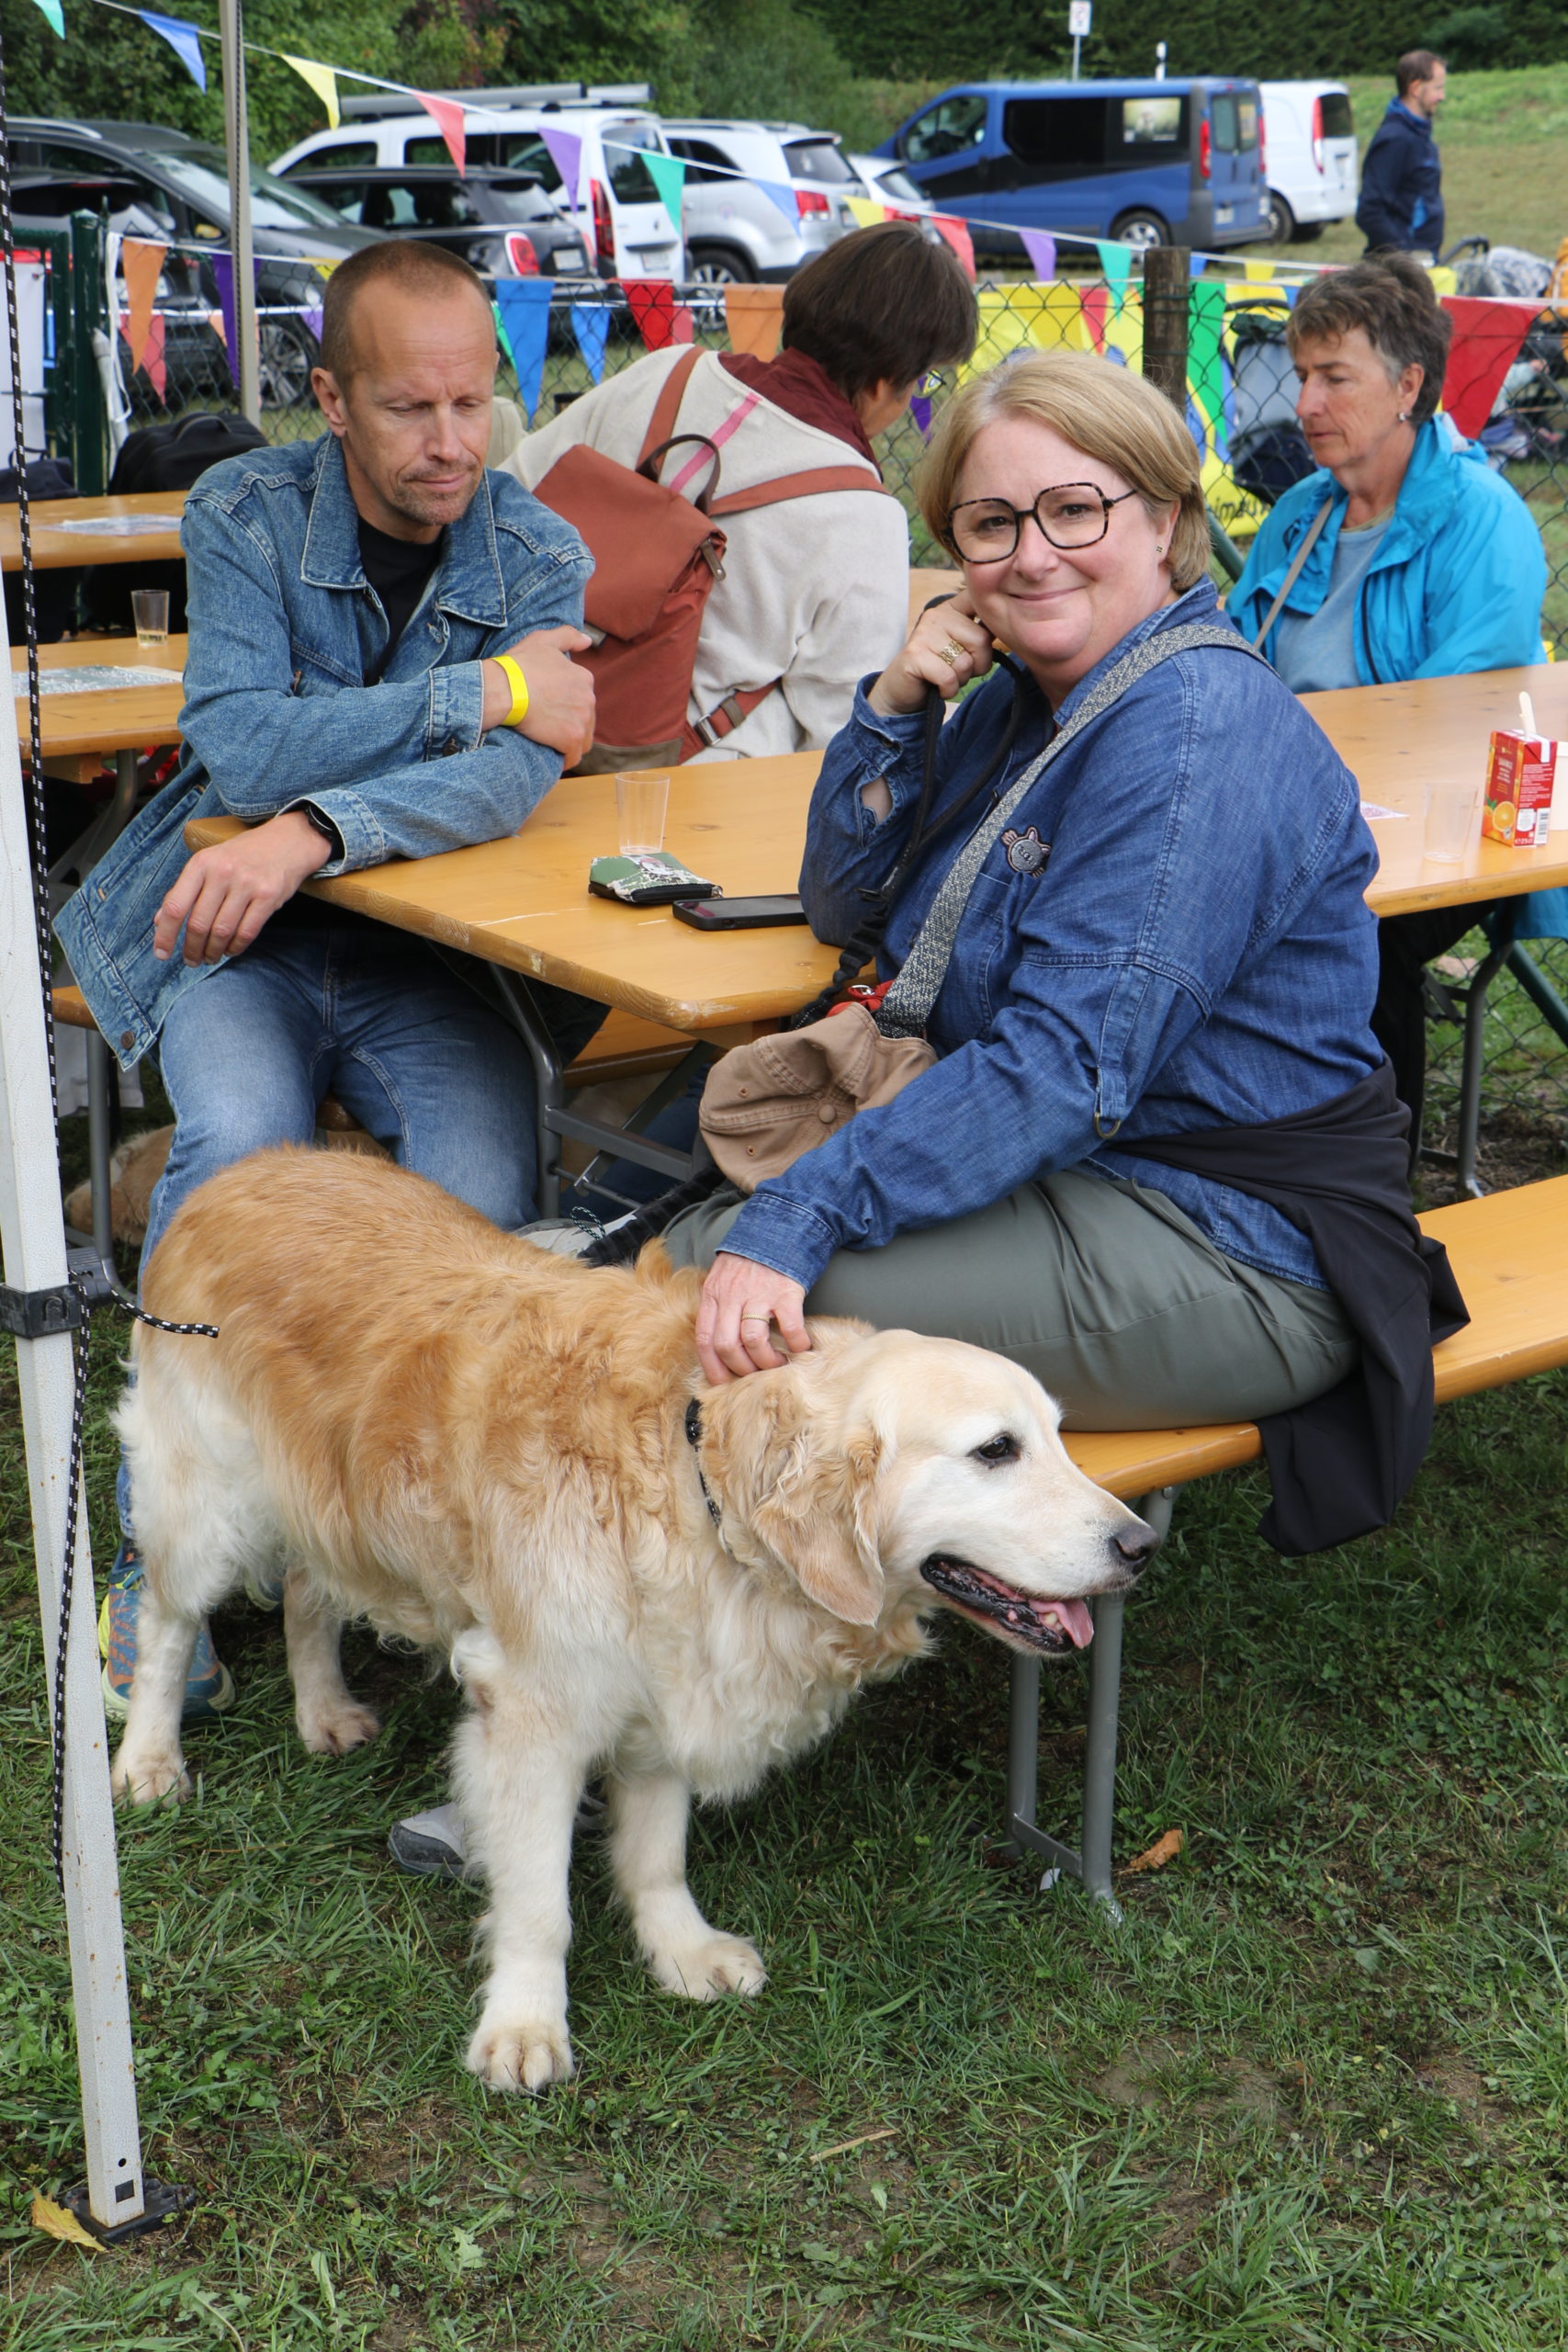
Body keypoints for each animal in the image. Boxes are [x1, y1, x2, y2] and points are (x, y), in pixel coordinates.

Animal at [112, 1147, 1155, 2091]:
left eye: (1060, 1436)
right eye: (995, 1450)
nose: (1140, 1544)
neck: (698, 1476)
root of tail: (240, 1167)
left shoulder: (668, 1678)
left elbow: (657, 1851)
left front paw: (679, 1948)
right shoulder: (534, 1708)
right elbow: (538, 1899)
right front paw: (524, 2025)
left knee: (306, 1585)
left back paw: (323, 1708)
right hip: (202, 1501)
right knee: (167, 1625)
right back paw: (149, 1759)